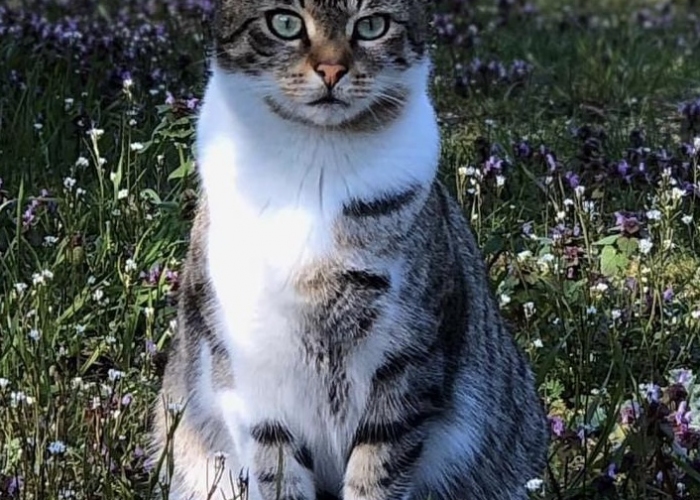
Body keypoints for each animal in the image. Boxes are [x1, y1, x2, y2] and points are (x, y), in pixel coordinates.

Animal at [150, 0, 548, 500]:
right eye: (285, 23)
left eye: (372, 25)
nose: (333, 69)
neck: (313, 174)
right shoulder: (249, 365)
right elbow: (276, 467)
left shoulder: (407, 356)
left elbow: (376, 469)